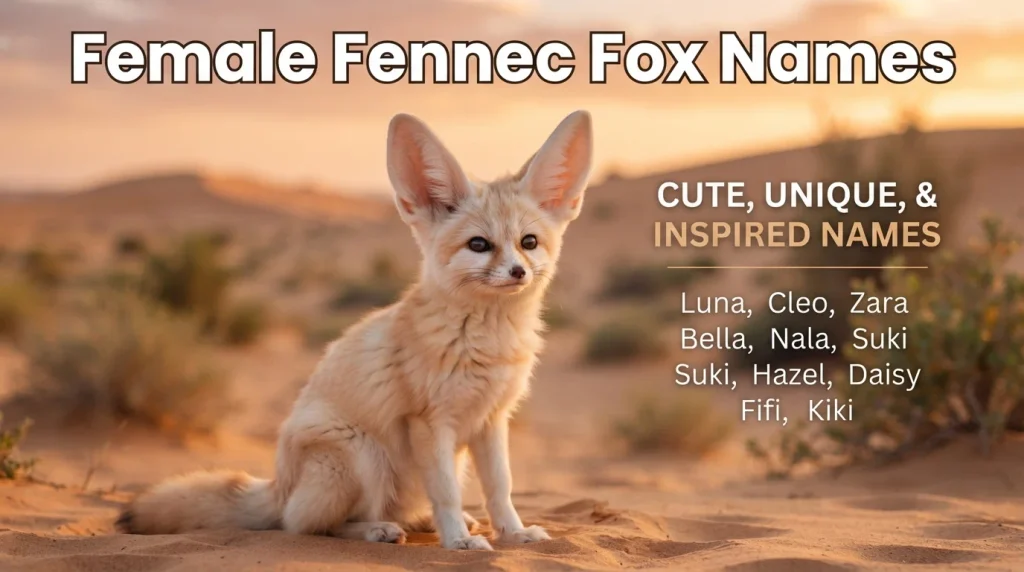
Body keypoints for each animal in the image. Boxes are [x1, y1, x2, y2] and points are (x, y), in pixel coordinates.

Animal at [115, 110, 594, 551]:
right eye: (479, 245)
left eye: (529, 243)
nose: (518, 272)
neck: (488, 342)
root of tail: (277, 487)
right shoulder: (430, 423)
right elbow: (446, 493)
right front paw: (458, 541)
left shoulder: (492, 420)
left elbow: (500, 487)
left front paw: (513, 532)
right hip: (363, 453)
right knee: (307, 524)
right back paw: (378, 529)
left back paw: (425, 522)